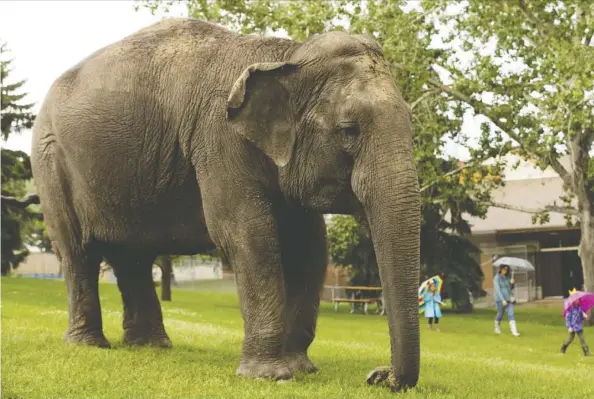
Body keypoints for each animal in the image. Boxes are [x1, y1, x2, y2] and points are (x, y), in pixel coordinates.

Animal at [31, 18, 420, 390]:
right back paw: (89, 345)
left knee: (133, 257)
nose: (379, 376)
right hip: (50, 161)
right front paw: (270, 376)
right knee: (79, 252)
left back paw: (151, 345)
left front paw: (300, 369)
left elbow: (310, 247)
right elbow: (246, 234)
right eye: (349, 130)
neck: (287, 55)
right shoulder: (218, 138)